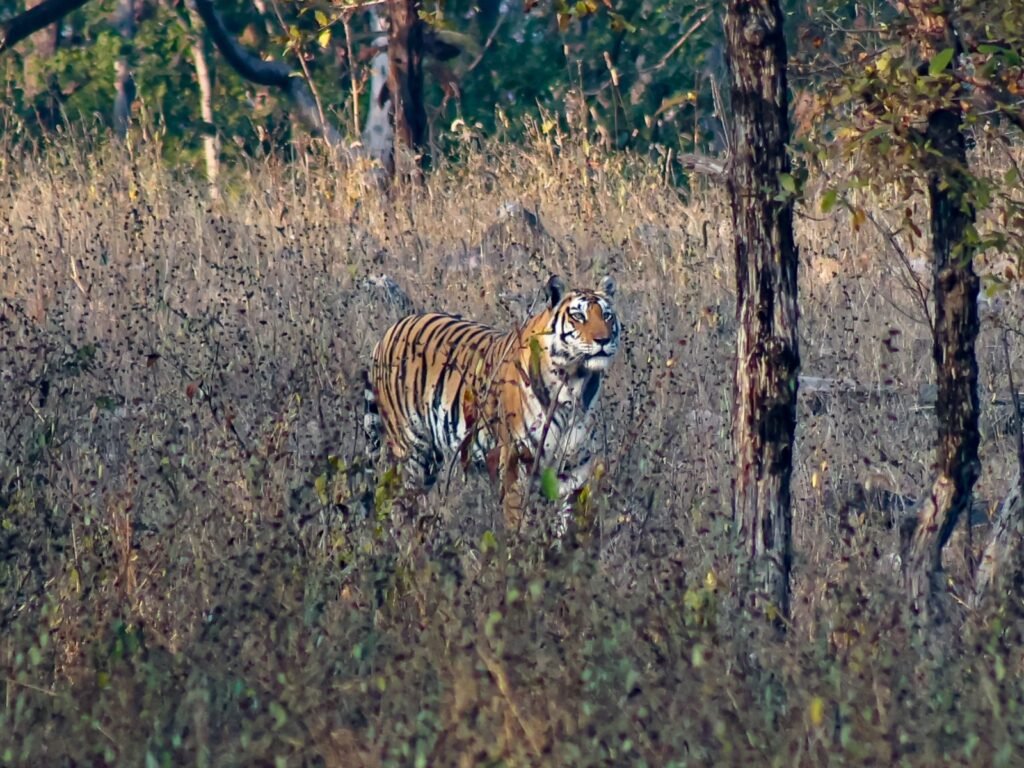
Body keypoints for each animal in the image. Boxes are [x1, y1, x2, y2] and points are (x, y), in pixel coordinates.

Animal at [363, 274, 620, 529]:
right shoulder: (517, 463)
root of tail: (387, 333)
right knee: (399, 504)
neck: (575, 383)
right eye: (579, 316)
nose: (603, 340)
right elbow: (518, 522)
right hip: (412, 449)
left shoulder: (575, 469)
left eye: (607, 315)